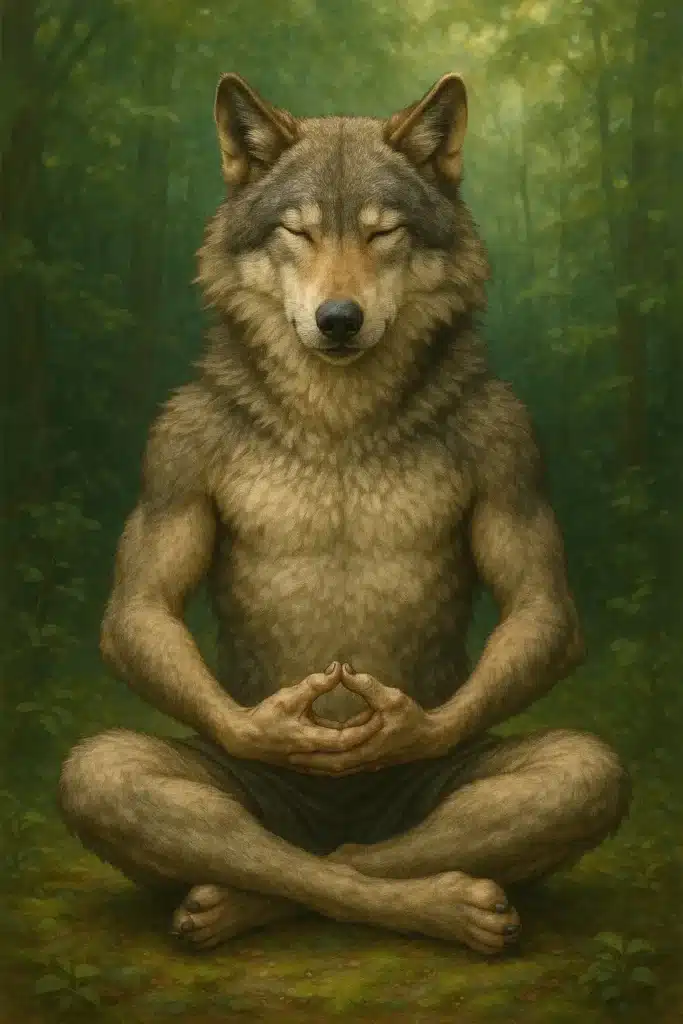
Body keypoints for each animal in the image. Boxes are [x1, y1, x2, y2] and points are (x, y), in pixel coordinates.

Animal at [58, 72, 630, 955]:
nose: (338, 319)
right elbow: (139, 608)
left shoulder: (511, 445)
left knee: (374, 853)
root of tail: (331, 821)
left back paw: (439, 900)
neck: (338, 419)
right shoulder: (173, 452)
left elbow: (541, 606)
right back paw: (230, 902)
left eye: (381, 231)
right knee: (219, 827)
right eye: (297, 232)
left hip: (515, 781)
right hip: (151, 778)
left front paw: (402, 728)